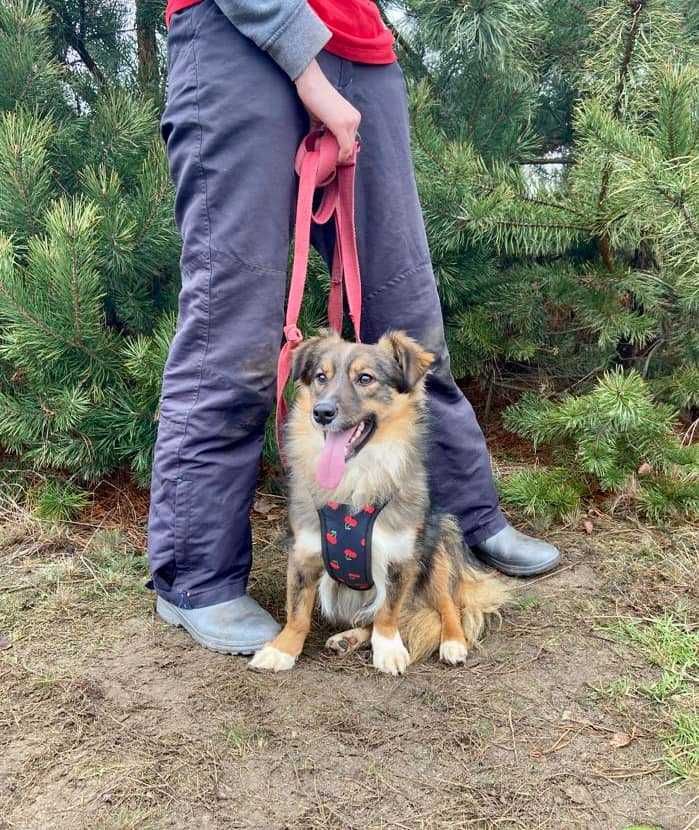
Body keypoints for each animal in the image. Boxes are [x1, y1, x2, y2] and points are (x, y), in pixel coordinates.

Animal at [252, 332, 508, 676]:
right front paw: (282, 649)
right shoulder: (304, 553)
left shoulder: (401, 557)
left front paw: (388, 649)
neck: (354, 481)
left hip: (439, 545)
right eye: (321, 377)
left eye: (365, 378)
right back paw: (348, 638)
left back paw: (453, 642)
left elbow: (389, 611)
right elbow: (297, 611)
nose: (322, 412)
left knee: (447, 604)